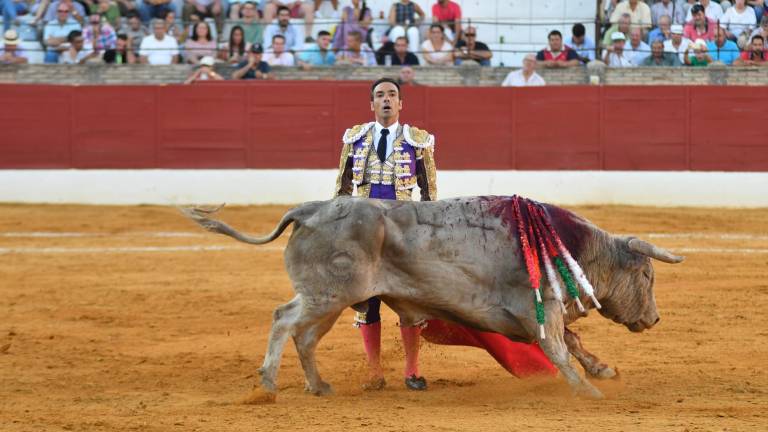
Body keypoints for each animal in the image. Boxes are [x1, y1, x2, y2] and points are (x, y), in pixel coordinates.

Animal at [182, 195, 684, 398]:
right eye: (646, 274)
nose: (656, 319)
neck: (570, 247)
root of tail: (310, 209)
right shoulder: (539, 307)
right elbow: (560, 349)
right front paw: (586, 391)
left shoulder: (543, 311)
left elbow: (574, 345)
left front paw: (602, 370)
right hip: (324, 294)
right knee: (284, 319)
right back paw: (268, 383)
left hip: (331, 299)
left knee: (304, 336)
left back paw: (319, 385)